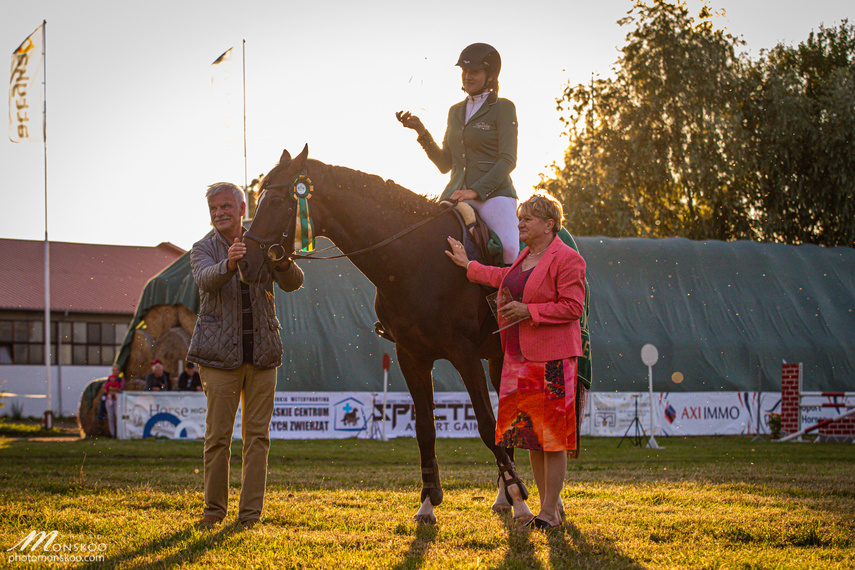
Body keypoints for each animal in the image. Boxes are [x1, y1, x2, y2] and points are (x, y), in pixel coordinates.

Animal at [234, 144, 528, 520]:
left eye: (274, 202)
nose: (244, 263)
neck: (418, 257)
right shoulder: (411, 356)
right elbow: (425, 428)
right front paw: (428, 501)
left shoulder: (464, 355)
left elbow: (488, 426)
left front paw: (521, 499)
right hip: (496, 359)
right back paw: (503, 496)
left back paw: (521, 497)